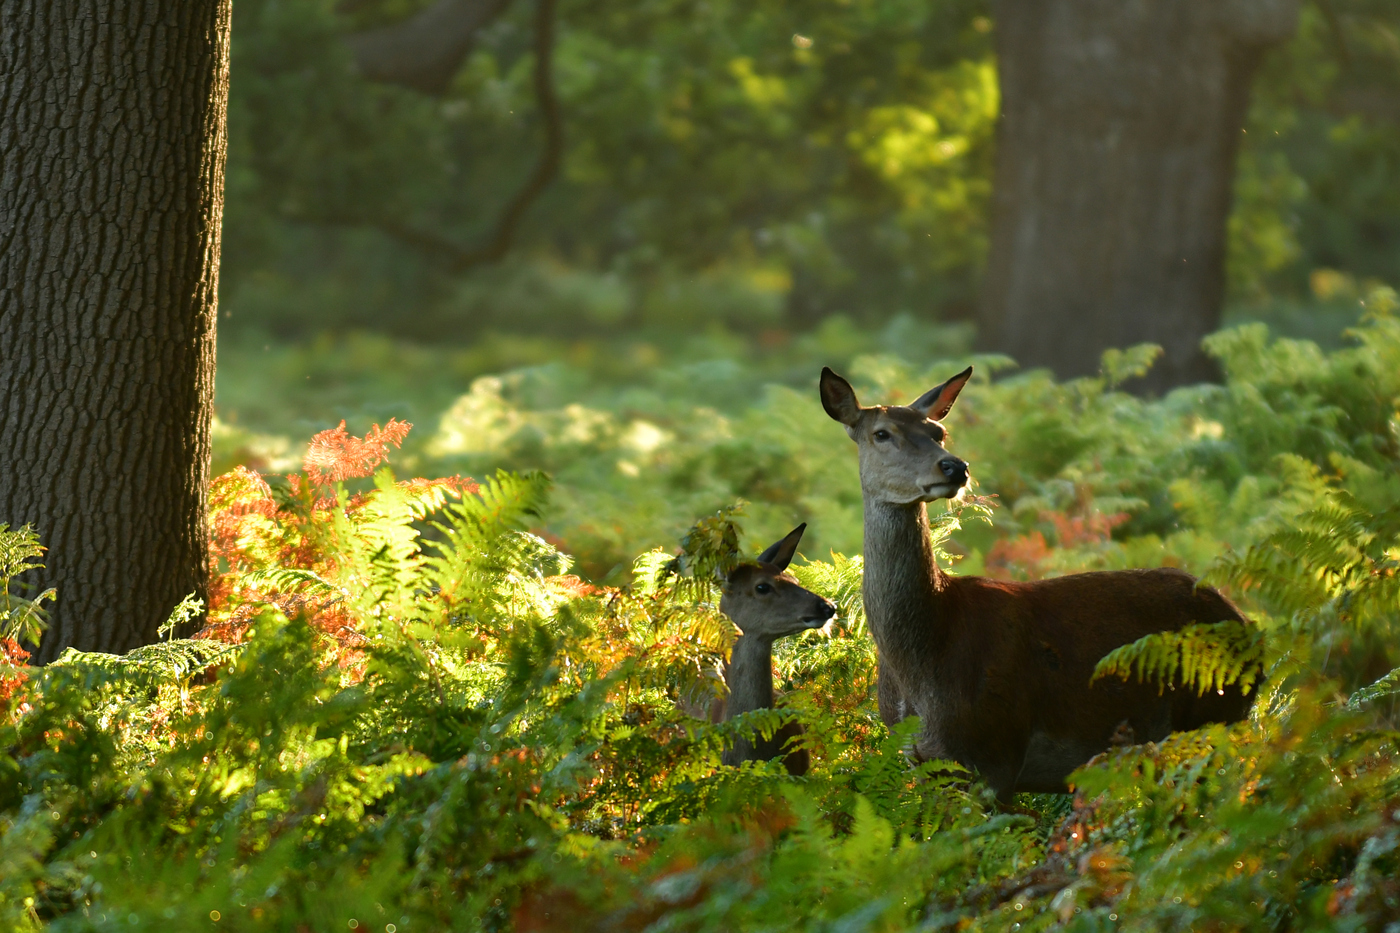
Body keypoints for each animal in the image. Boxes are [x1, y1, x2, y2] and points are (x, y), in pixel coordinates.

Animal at [819, 365, 1253, 801]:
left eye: (938, 432)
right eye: (881, 433)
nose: (954, 467)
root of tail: (1247, 624)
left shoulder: (995, 754)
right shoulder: (925, 766)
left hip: (1211, 718)